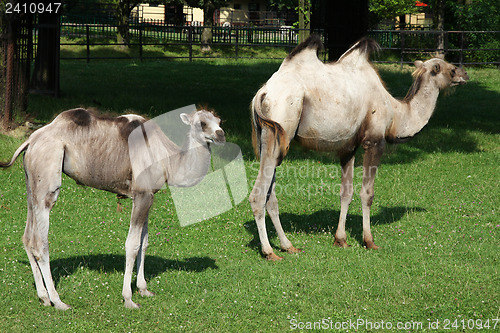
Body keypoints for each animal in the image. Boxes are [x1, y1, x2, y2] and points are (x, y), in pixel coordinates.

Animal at [0, 107, 225, 308]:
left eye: (219, 120)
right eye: (202, 123)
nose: (220, 134)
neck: (169, 160)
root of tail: (31, 140)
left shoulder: (149, 195)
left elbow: (144, 242)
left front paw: (144, 289)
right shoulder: (142, 195)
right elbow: (132, 245)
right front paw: (128, 299)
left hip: (31, 182)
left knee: (28, 237)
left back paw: (44, 297)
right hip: (48, 174)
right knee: (41, 241)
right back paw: (58, 301)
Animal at [250, 35, 468, 260]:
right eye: (451, 69)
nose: (465, 74)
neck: (396, 113)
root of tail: (263, 93)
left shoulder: (348, 147)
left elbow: (346, 192)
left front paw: (341, 240)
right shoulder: (374, 141)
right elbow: (367, 193)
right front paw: (369, 241)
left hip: (272, 139)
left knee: (270, 196)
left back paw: (288, 246)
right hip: (280, 124)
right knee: (258, 195)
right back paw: (269, 252)